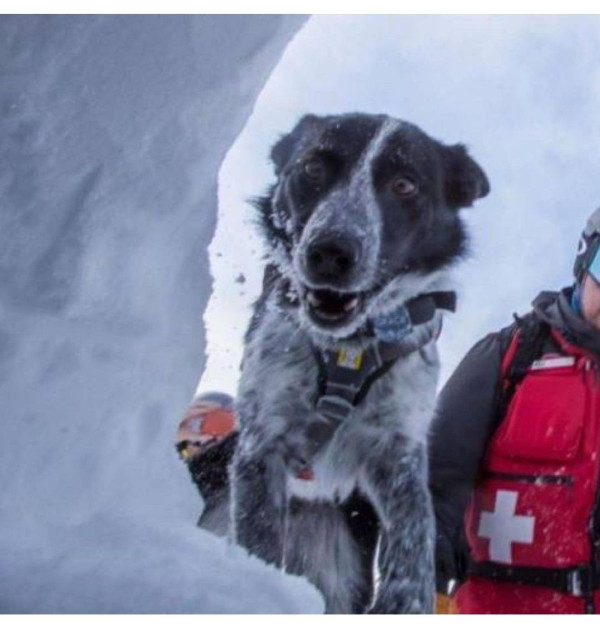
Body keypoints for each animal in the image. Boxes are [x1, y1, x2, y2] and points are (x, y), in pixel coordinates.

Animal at [230, 112, 488, 612]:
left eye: (405, 185)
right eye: (312, 168)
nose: (331, 252)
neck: (349, 349)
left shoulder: (397, 450)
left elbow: (416, 532)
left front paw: (406, 600)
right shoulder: (262, 441)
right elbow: (259, 541)